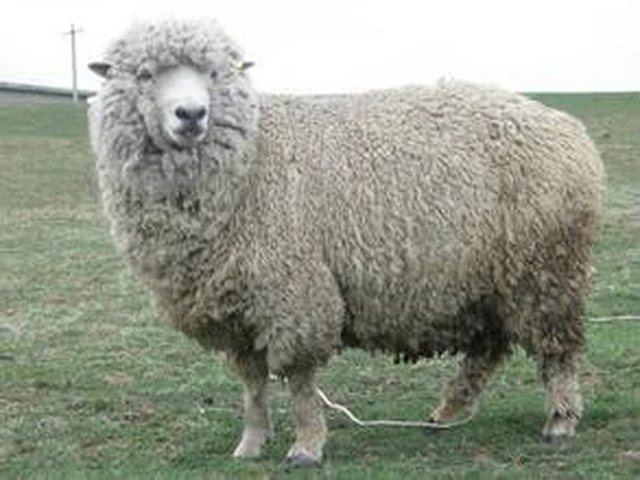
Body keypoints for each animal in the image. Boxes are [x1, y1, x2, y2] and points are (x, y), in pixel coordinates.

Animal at [88, 18, 605, 466]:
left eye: (215, 73)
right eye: (144, 74)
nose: (192, 114)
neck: (251, 160)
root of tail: (566, 128)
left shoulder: (292, 291)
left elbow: (299, 381)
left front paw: (306, 447)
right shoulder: (236, 306)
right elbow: (253, 384)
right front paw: (251, 443)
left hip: (544, 267)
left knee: (556, 348)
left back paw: (560, 420)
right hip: (486, 276)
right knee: (490, 346)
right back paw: (449, 411)